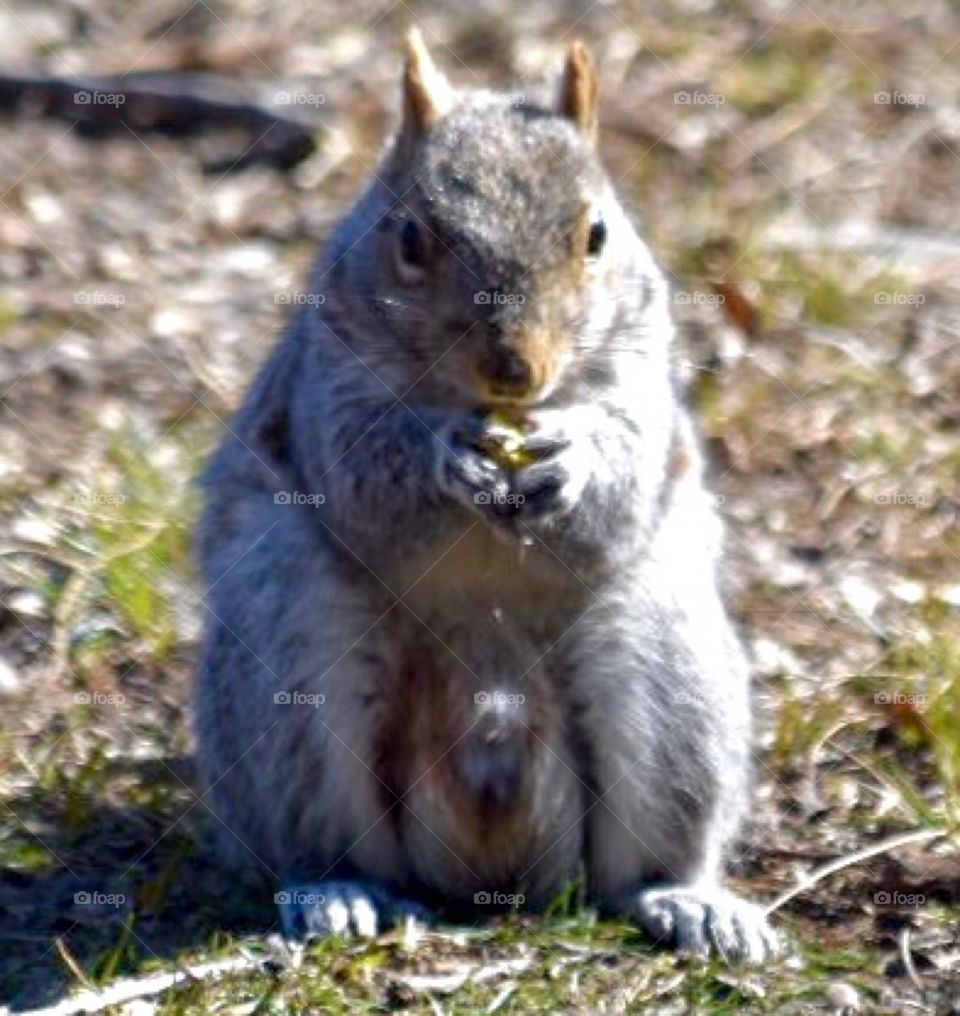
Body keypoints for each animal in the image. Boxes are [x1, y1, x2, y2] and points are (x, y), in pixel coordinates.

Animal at [194, 30, 779, 962]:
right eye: (409, 236)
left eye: (597, 235)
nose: (515, 370)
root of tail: (491, 869)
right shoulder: (327, 384)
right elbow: (364, 474)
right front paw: (446, 459)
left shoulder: (642, 376)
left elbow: (627, 466)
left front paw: (572, 461)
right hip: (288, 648)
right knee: (317, 827)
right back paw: (337, 891)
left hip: (668, 670)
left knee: (642, 862)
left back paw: (687, 901)